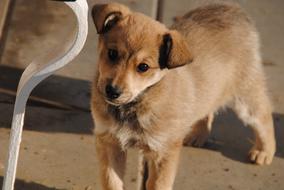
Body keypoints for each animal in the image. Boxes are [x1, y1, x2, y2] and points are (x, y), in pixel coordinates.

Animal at [90, 2, 276, 189]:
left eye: (143, 67)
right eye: (112, 53)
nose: (112, 91)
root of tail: (230, 7)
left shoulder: (163, 151)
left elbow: (158, 185)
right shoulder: (109, 142)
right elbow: (111, 182)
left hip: (245, 95)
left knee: (264, 116)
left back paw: (264, 151)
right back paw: (198, 134)